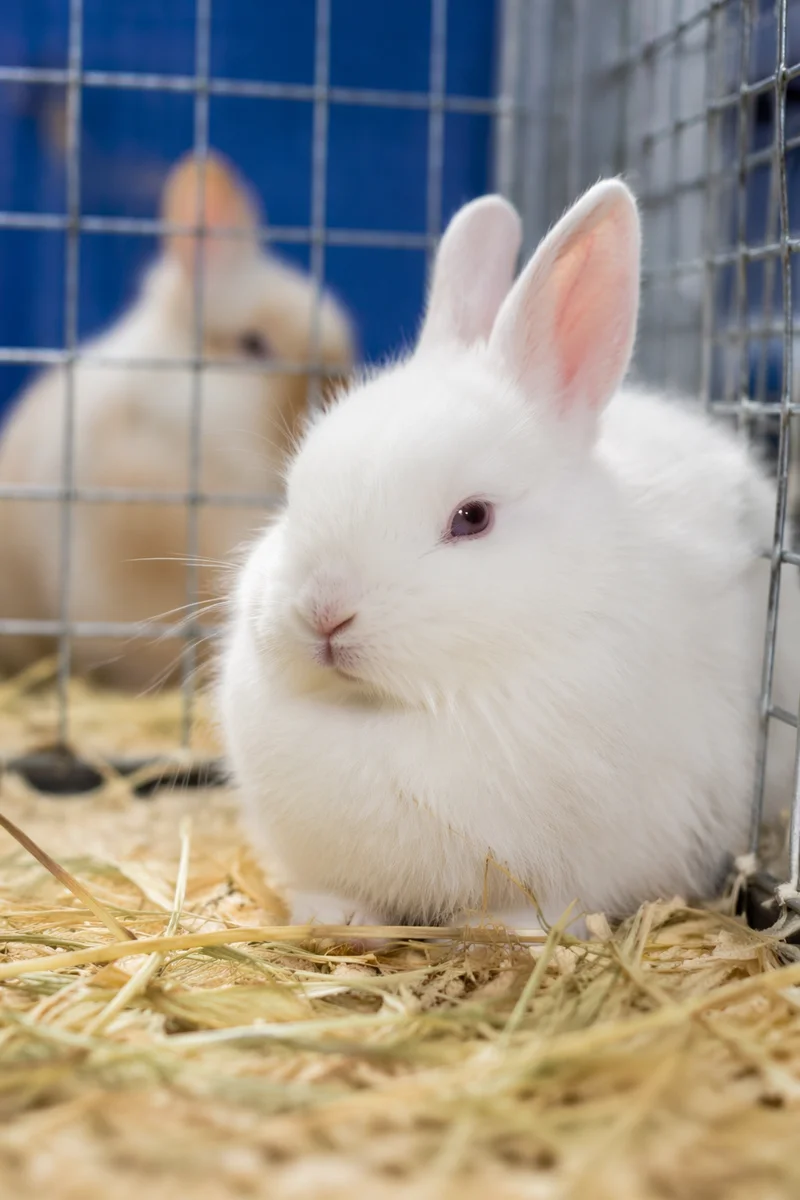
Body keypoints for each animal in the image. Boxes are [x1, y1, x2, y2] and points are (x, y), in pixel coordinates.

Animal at [218, 178, 800, 936]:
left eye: (472, 518)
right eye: (293, 491)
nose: (324, 613)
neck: (393, 710)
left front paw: (515, 933)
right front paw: (334, 918)